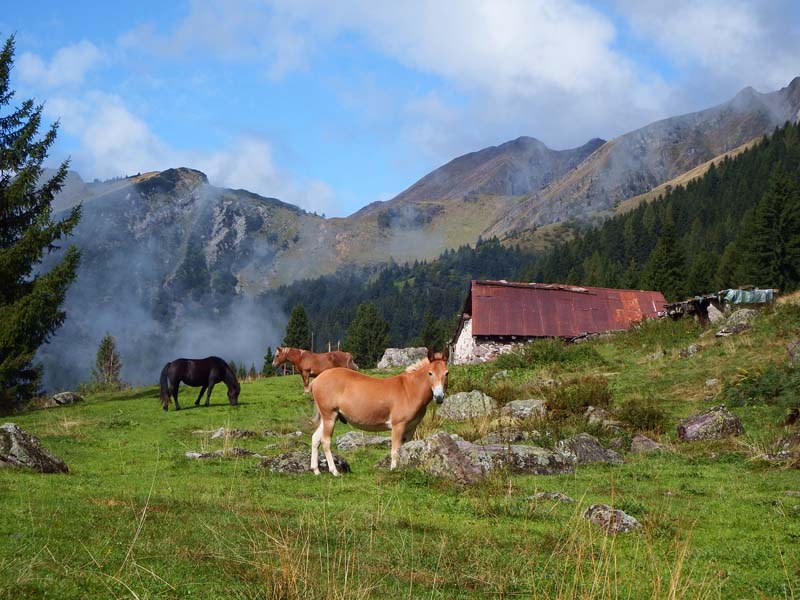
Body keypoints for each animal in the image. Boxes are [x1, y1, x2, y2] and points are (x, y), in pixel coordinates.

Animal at [308, 344, 446, 476]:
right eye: (430, 373)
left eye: (446, 373)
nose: (439, 397)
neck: (410, 390)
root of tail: (316, 380)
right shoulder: (398, 425)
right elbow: (395, 450)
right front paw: (394, 470)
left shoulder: (411, 427)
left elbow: (406, 448)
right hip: (330, 416)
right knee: (325, 441)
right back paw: (334, 471)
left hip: (330, 417)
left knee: (315, 438)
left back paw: (316, 470)